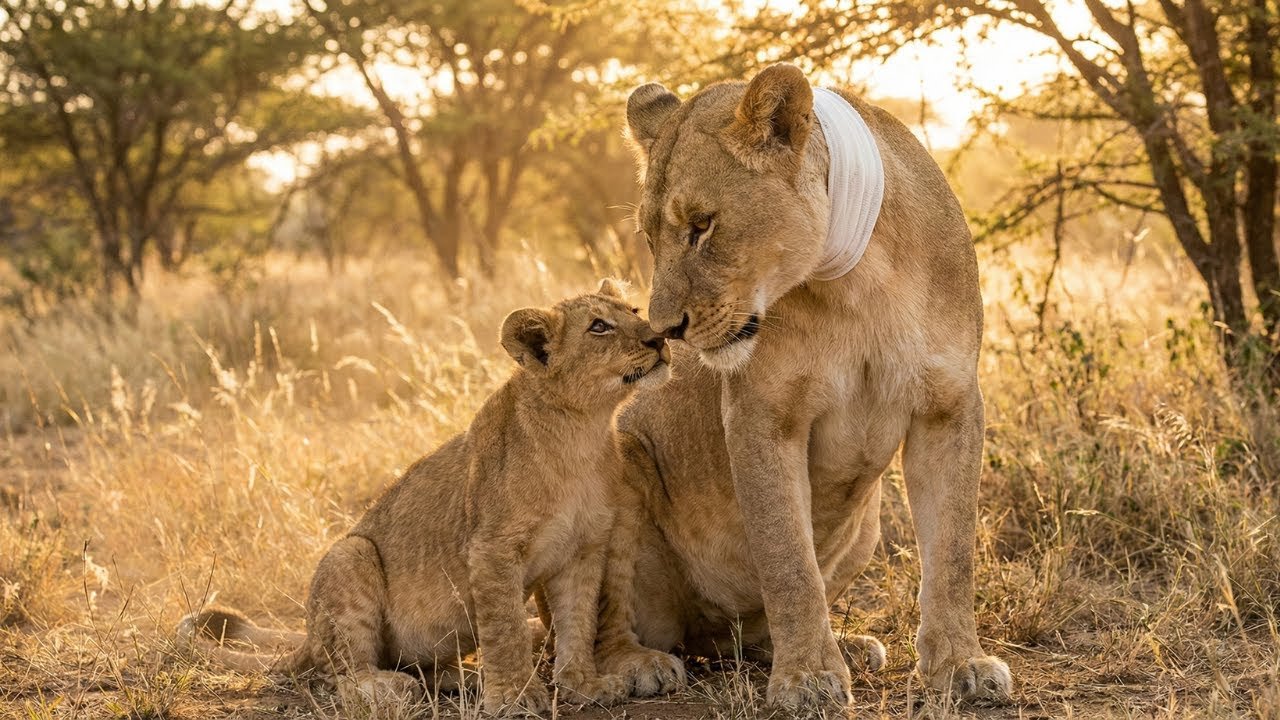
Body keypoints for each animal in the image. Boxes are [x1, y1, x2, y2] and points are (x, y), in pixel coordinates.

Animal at [178, 279, 672, 716]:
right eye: (598, 327)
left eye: (633, 310)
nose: (659, 337)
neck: (582, 430)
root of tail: (307, 638)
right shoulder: (492, 549)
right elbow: (507, 629)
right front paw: (515, 698)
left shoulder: (584, 548)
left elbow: (578, 621)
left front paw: (584, 685)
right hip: (351, 554)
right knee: (341, 676)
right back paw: (390, 688)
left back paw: (465, 678)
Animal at [590, 64, 1013, 711]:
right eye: (649, 236)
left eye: (701, 226)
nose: (663, 331)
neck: (858, 280)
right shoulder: (762, 415)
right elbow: (788, 559)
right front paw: (809, 678)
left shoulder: (950, 405)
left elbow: (953, 552)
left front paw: (961, 665)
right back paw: (637, 666)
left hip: (866, 527)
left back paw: (844, 647)